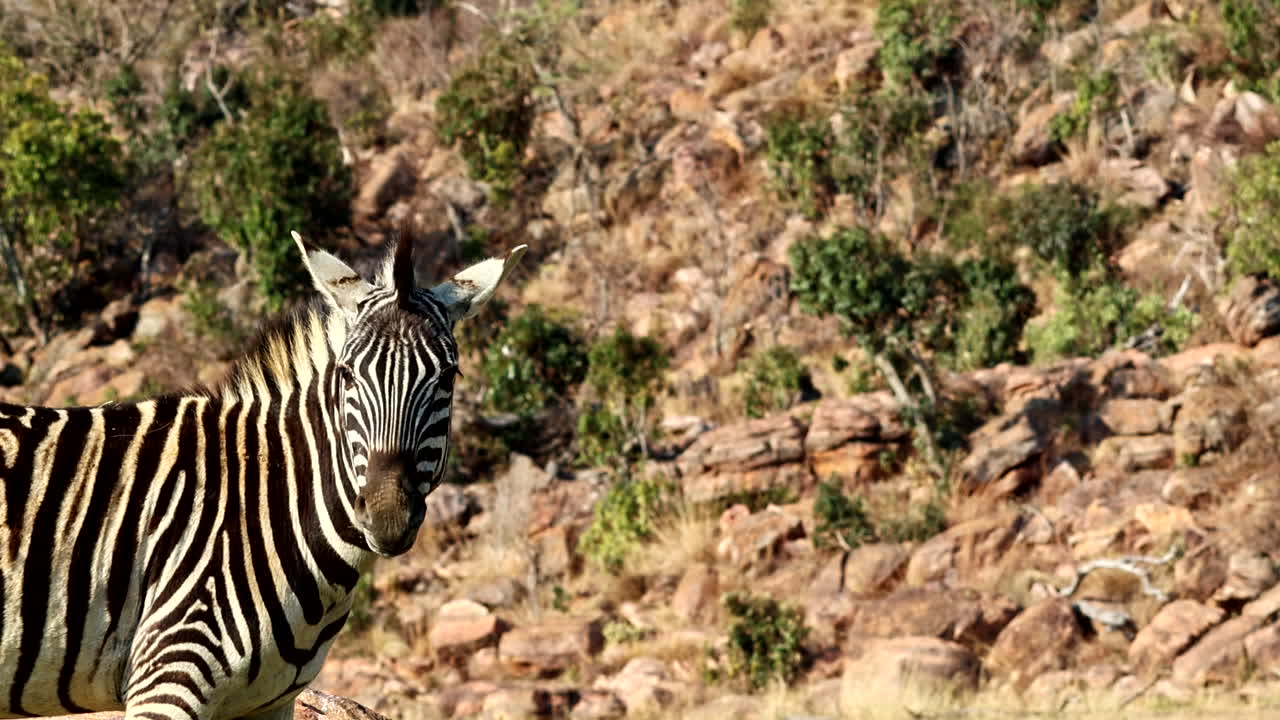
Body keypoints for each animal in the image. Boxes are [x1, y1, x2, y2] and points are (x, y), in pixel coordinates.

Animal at [0, 233, 526, 719]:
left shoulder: (267, 702)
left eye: (448, 378)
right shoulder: (166, 673)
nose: (387, 515)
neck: (269, 499)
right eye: (347, 375)